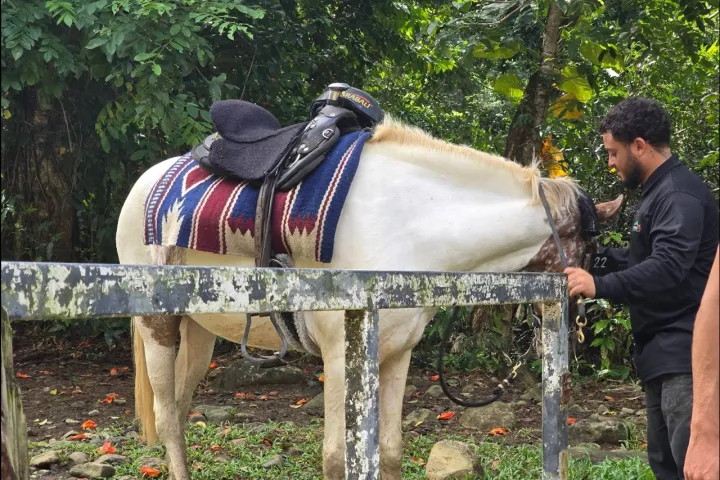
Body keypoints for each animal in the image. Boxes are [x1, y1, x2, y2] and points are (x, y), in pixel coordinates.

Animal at [115, 115, 623, 479]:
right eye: (592, 249)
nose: (574, 327)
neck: (410, 225)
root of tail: (145, 183)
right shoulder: (340, 357)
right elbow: (337, 458)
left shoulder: (396, 354)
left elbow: (391, 451)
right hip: (157, 326)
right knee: (166, 416)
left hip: (199, 328)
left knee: (181, 411)